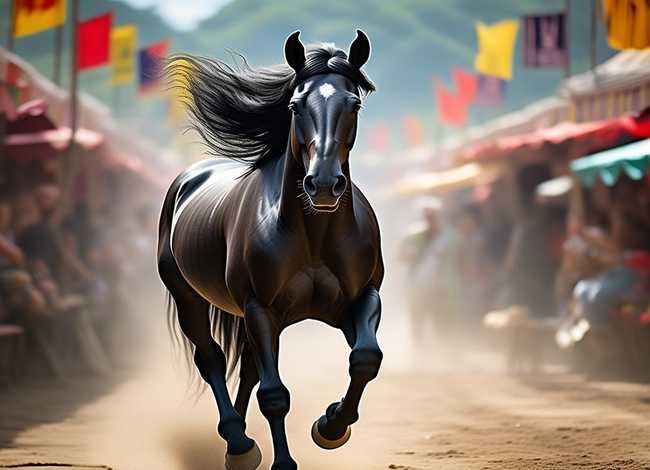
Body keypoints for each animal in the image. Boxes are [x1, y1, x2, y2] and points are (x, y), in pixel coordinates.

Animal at [157, 30, 384, 470]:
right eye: (296, 105)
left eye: (355, 103)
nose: (324, 185)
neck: (314, 236)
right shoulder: (261, 308)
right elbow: (274, 394)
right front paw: (284, 461)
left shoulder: (360, 298)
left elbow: (365, 358)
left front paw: (331, 426)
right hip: (189, 297)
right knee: (211, 359)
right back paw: (239, 444)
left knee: (247, 368)